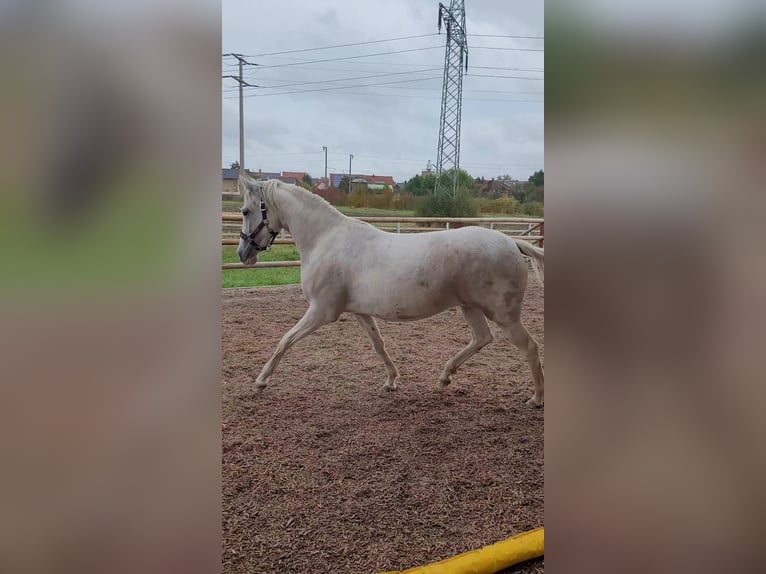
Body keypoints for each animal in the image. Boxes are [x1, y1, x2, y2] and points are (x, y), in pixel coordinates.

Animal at [238, 178, 544, 408]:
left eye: (245, 211)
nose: (243, 254)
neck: (326, 239)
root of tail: (512, 242)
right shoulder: (359, 312)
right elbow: (378, 344)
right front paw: (391, 381)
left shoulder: (321, 311)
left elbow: (285, 340)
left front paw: (260, 381)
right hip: (470, 307)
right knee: (482, 338)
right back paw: (445, 377)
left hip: (503, 314)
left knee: (529, 347)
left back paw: (536, 399)